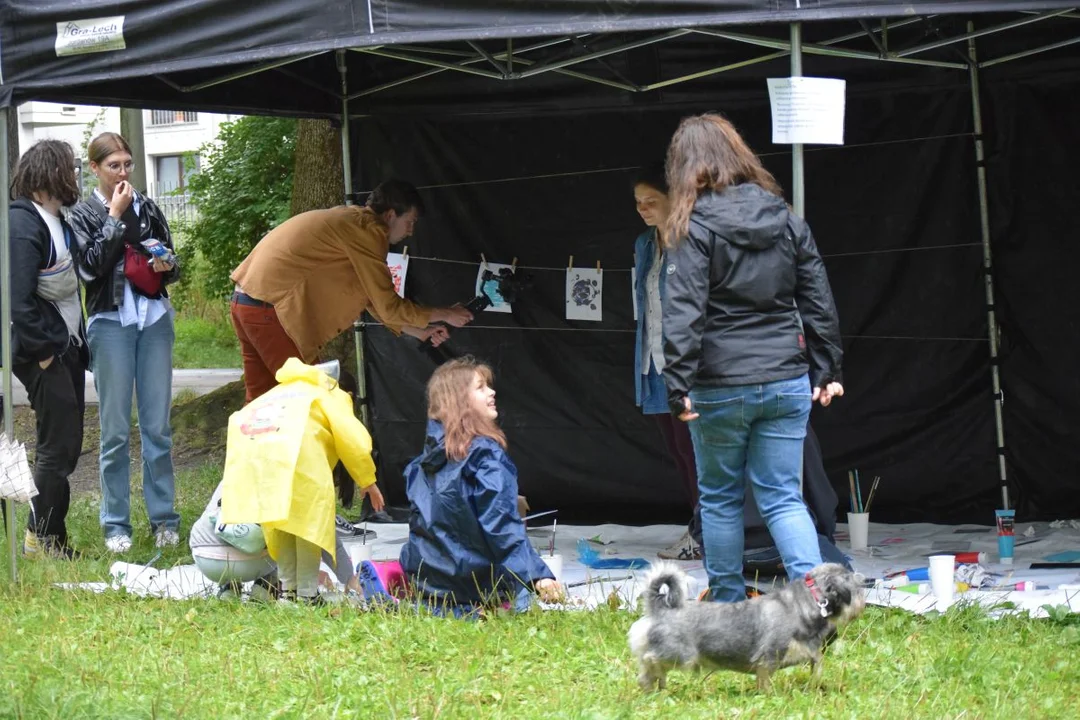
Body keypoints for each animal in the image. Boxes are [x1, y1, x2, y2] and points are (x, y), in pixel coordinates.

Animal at [626, 561, 868, 690]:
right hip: (680, 656)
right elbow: (766, 682)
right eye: (856, 588)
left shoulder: (805, 651)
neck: (807, 602)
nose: (865, 584)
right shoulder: (769, 659)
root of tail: (659, 609)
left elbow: (816, 662)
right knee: (649, 662)